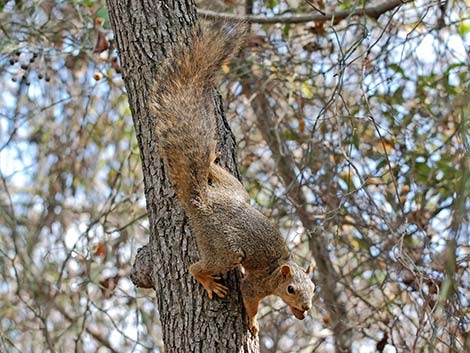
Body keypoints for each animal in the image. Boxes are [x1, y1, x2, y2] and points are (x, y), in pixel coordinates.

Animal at [149, 24, 314, 332]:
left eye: (313, 288)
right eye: (291, 290)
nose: (307, 308)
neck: (278, 268)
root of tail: (201, 202)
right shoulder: (257, 283)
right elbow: (249, 300)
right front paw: (253, 323)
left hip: (237, 192)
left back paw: (212, 159)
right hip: (224, 249)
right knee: (197, 266)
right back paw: (206, 280)